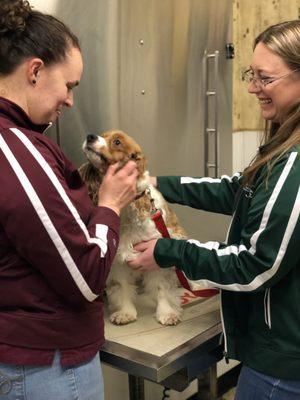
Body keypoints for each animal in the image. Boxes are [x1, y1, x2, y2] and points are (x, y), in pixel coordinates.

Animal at [79, 130, 188, 324]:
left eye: (117, 142)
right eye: (102, 135)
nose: (90, 136)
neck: (125, 211)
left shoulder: (155, 252)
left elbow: (161, 287)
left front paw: (167, 312)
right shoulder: (118, 259)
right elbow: (121, 287)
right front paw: (125, 312)